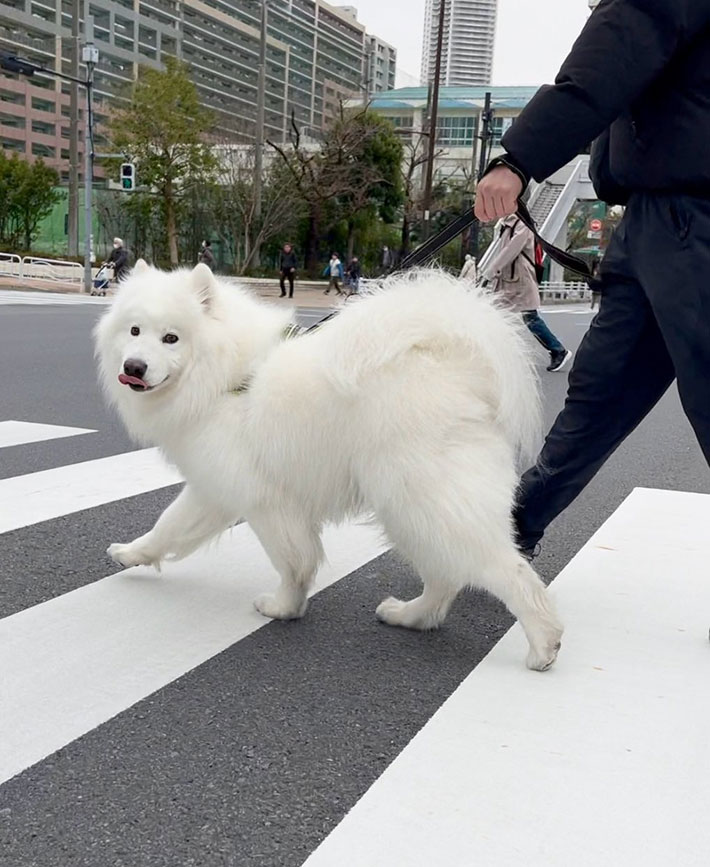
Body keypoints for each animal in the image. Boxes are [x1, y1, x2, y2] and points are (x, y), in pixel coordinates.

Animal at [94, 262, 564, 672]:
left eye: (171, 338)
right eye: (134, 331)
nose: (133, 367)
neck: (227, 377)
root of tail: (461, 371)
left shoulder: (265, 501)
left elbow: (293, 562)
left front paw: (283, 607)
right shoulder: (216, 487)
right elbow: (167, 527)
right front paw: (133, 554)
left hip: (421, 501)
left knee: (509, 573)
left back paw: (544, 645)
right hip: (409, 509)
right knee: (446, 576)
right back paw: (410, 615)